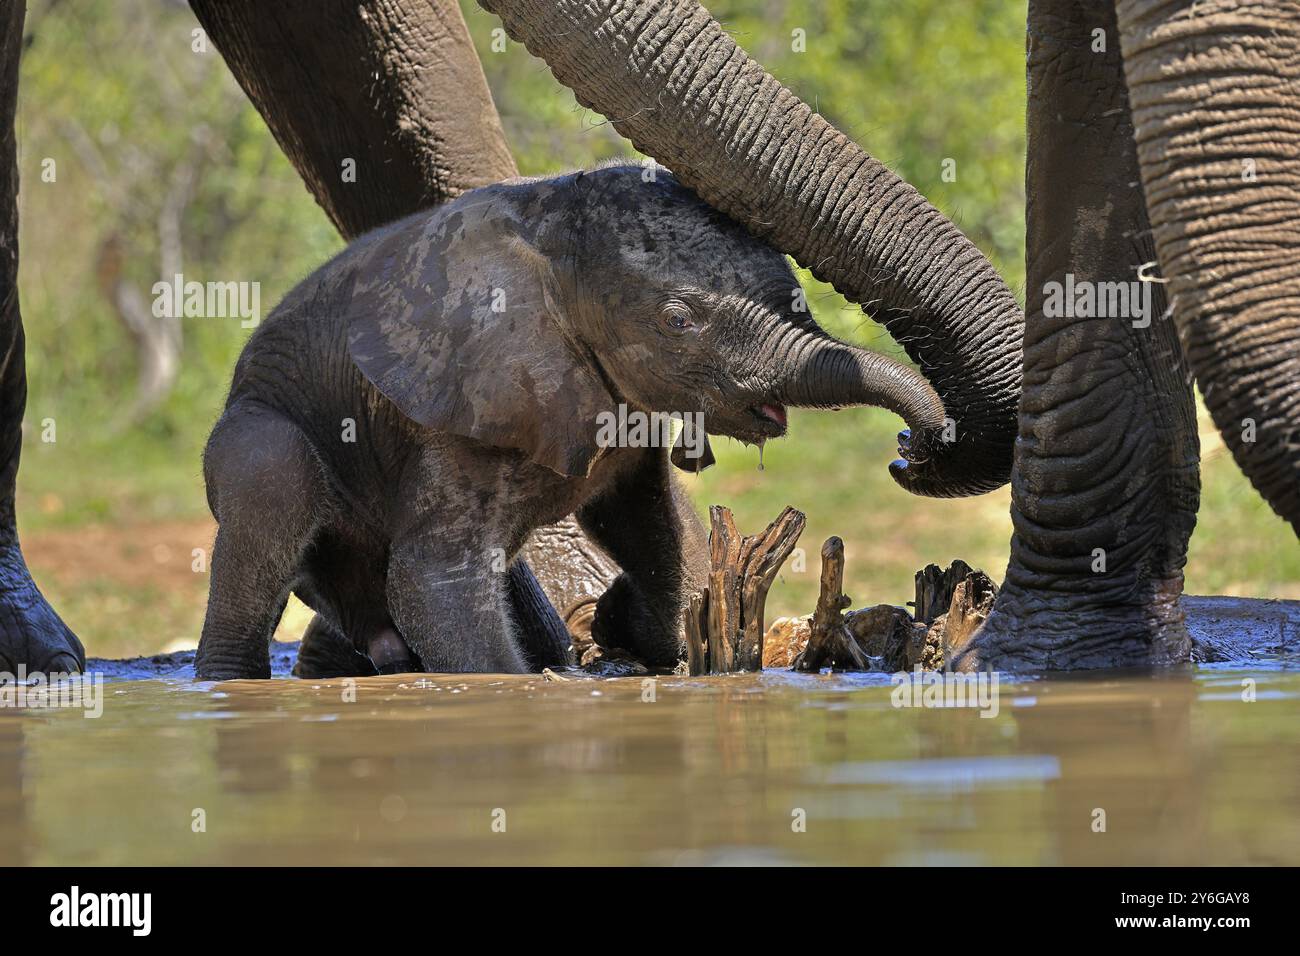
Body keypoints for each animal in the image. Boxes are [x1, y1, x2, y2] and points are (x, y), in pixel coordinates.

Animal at [192, 167, 946, 686]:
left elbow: (642, 521)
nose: (910, 449)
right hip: (256, 436)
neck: (546, 226)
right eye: (679, 320)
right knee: (273, 490)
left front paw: (630, 629)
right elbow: (431, 578)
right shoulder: (447, 405)